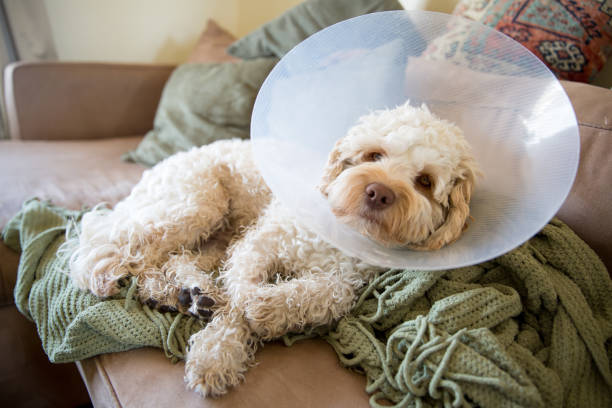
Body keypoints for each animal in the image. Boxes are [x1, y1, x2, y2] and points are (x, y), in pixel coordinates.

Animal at [67, 101, 478, 396]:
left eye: (425, 182)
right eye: (374, 155)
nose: (378, 192)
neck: (338, 232)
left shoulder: (344, 281)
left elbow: (318, 295)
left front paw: (265, 309)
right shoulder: (260, 244)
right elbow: (239, 298)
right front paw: (217, 354)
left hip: (217, 235)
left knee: (172, 260)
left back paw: (186, 293)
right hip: (195, 204)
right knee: (112, 248)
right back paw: (117, 277)